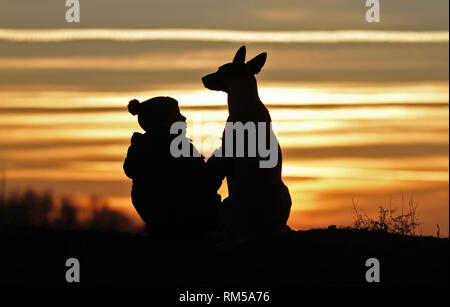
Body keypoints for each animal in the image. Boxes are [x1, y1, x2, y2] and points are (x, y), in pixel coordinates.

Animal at [201, 46, 292, 236]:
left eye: (221, 69)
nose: (203, 78)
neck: (246, 103)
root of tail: (258, 229)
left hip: (226, 204)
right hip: (285, 191)